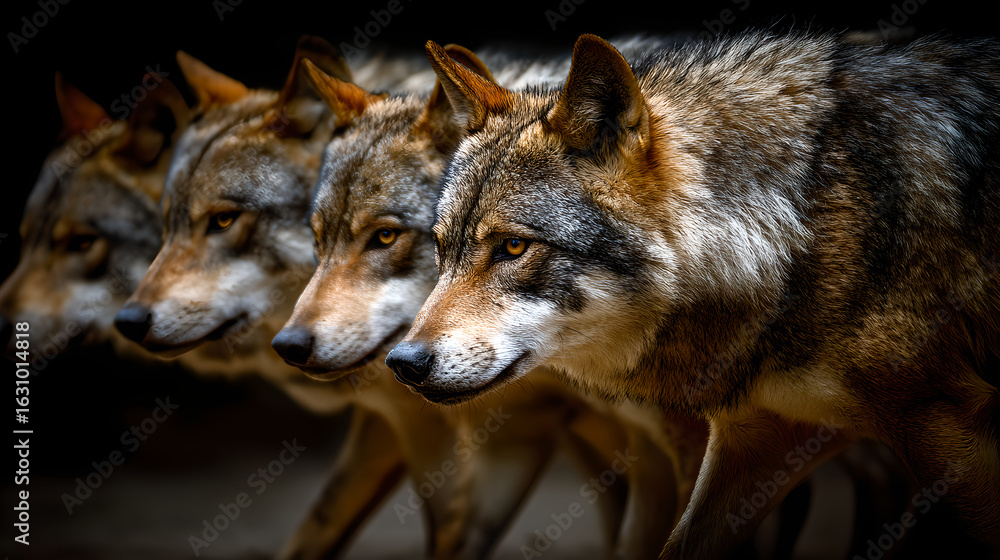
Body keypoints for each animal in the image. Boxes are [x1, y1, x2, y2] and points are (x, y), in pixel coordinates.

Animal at [386, 31, 1000, 558]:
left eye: (513, 247)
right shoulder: (758, 438)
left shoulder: (950, 432)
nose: (403, 362)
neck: (798, 223)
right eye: (441, 248)